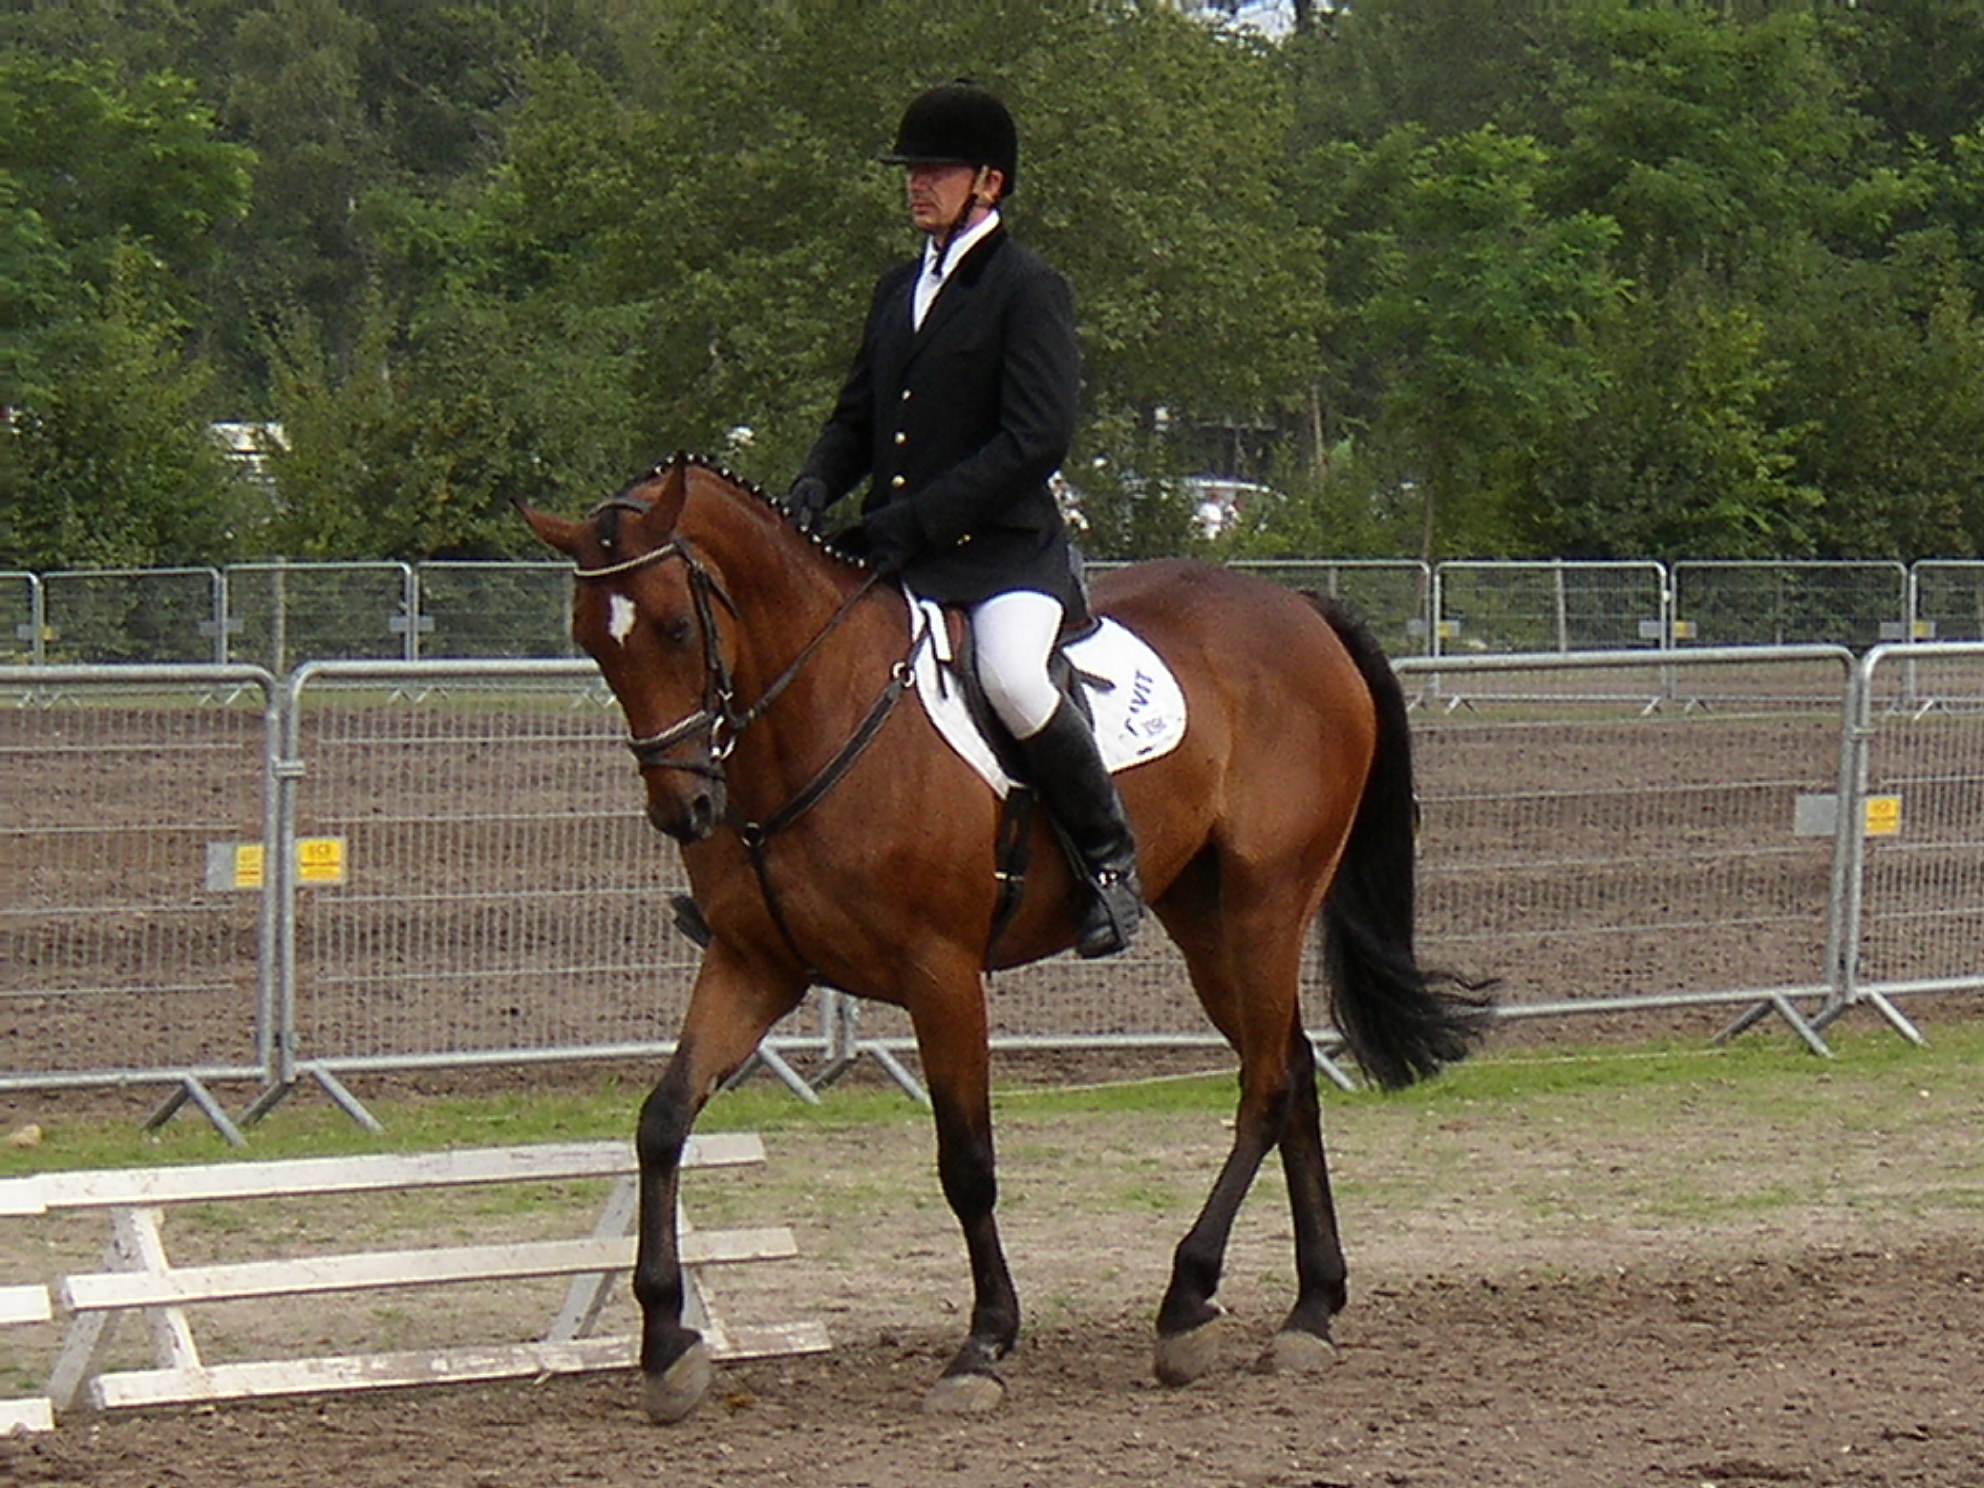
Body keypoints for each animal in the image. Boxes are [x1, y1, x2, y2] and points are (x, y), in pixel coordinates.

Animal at [521, 453, 1488, 1422]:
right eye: (593, 642)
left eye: (680, 627)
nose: (683, 809)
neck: (814, 715)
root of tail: (1300, 609)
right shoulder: (755, 965)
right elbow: (662, 1121)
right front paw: (666, 1344)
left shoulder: (940, 972)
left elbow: (967, 1160)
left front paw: (982, 1345)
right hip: (1205, 919)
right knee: (1289, 1073)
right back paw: (1309, 1311)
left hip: (1269, 903)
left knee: (1268, 1083)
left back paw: (1187, 1301)